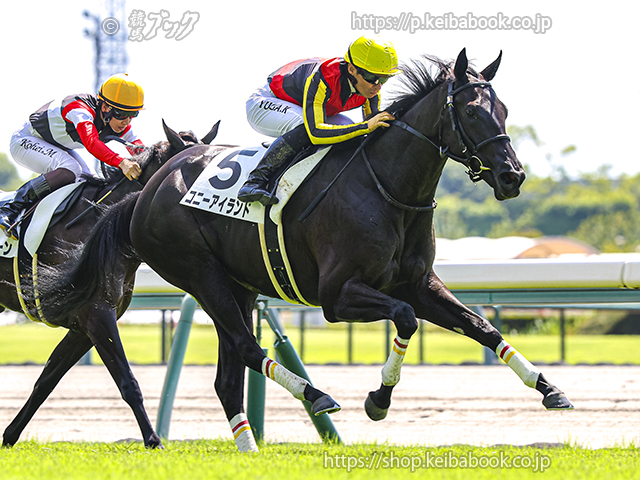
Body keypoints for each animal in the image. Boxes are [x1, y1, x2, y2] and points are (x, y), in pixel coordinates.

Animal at [0, 121, 220, 449]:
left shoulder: (84, 326)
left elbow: (46, 381)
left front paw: (9, 436)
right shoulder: (96, 315)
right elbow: (128, 382)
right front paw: (153, 440)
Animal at [34, 49, 573, 452]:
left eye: (504, 111)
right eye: (472, 111)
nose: (512, 176)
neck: (388, 189)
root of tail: (145, 190)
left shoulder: (419, 284)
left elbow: (481, 327)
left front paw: (550, 388)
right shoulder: (337, 297)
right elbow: (404, 319)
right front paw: (377, 399)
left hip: (237, 285)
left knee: (231, 371)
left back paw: (252, 445)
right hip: (200, 274)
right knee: (248, 347)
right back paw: (316, 395)